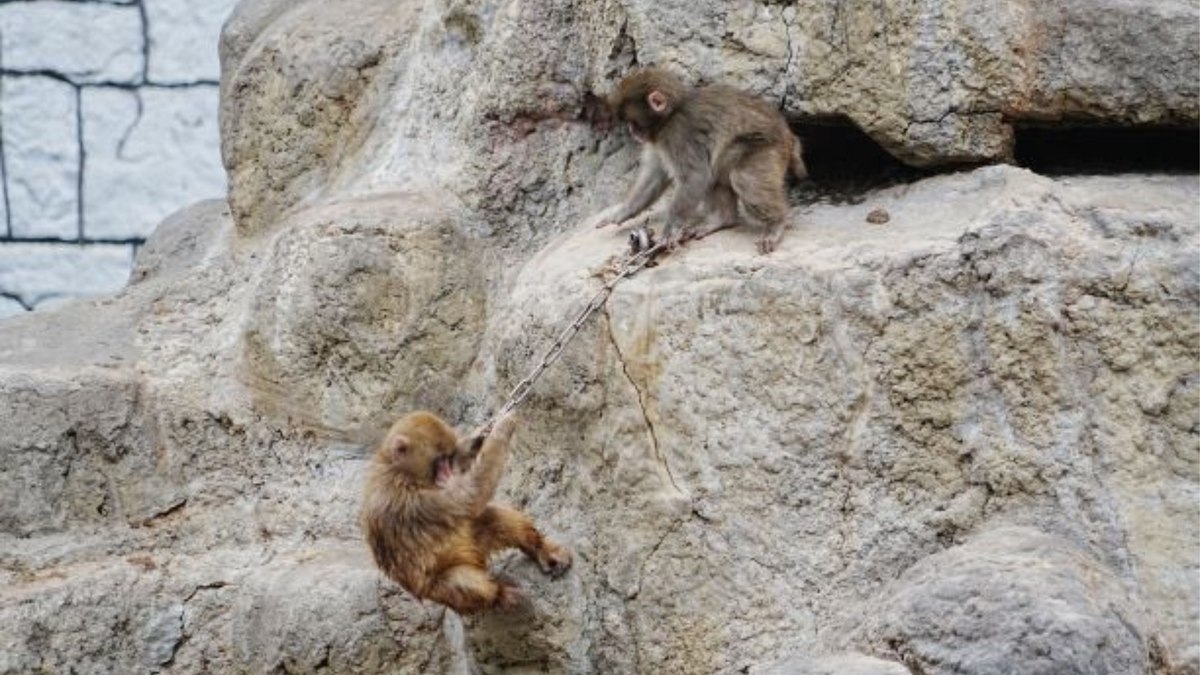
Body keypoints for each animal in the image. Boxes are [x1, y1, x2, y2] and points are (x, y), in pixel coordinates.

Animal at [361, 411, 572, 613]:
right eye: (439, 461)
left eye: (447, 459)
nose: (446, 473)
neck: (399, 471)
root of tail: (477, 560)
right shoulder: (416, 503)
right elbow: (471, 496)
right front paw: (502, 429)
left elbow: (466, 482)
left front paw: (477, 438)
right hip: (437, 591)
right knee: (463, 581)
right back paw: (499, 595)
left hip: (473, 543)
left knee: (491, 519)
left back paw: (539, 548)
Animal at [591, 68, 807, 254]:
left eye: (633, 122)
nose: (632, 132)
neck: (671, 114)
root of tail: (788, 136)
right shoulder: (659, 139)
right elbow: (656, 175)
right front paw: (623, 212)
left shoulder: (678, 133)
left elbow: (695, 177)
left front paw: (670, 230)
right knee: (716, 171)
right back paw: (722, 220)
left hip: (767, 149)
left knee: (742, 177)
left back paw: (776, 224)